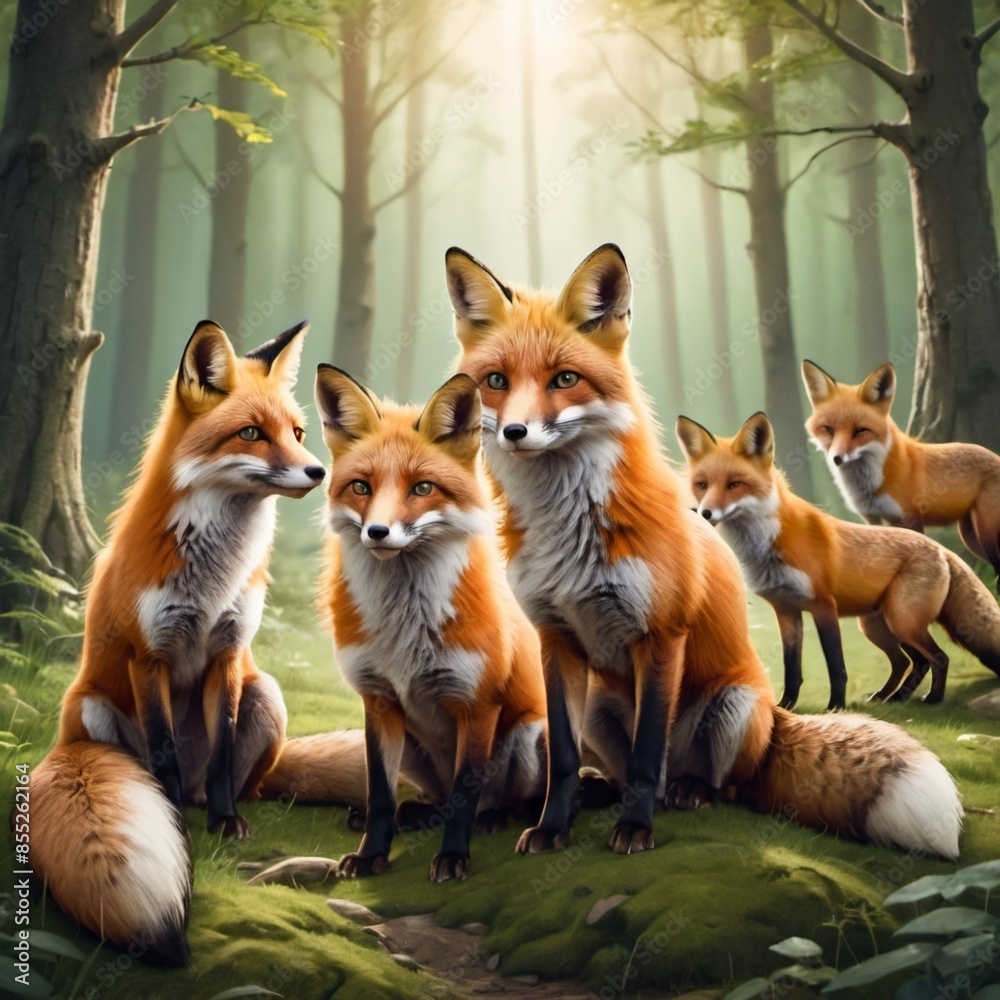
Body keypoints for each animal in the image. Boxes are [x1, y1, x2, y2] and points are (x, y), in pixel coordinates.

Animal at [29, 321, 369, 966]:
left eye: (297, 432)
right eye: (251, 434)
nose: (320, 473)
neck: (212, 579)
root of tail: (62, 742)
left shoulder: (228, 653)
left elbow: (220, 750)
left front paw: (225, 821)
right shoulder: (149, 656)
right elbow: (162, 751)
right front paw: (180, 825)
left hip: (269, 695)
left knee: (246, 781)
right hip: (95, 708)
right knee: (158, 771)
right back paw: (174, 806)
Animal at [313, 366, 547, 883]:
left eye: (422, 488)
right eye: (361, 487)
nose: (377, 532)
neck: (405, 627)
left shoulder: (477, 705)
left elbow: (464, 795)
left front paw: (453, 857)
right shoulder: (379, 702)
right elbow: (381, 795)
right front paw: (370, 855)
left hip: (527, 733)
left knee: (506, 801)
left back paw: (495, 817)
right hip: (414, 748)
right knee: (429, 802)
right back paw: (413, 814)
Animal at [447, 242, 963, 861]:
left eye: (565, 379)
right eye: (496, 381)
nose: (515, 433)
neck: (570, 533)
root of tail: (776, 715)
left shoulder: (662, 634)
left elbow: (649, 752)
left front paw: (635, 830)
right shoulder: (557, 638)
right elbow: (564, 760)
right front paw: (553, 828)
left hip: (732, 707)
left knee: (717, 781)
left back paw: (688, 792)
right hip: (599, 705)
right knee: (622, 769)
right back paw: (606, 794)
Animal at [676, 411, 1000, 709]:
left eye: (734, 485)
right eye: (702, 485)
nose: (704, 513)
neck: (764, 549)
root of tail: (940, 548)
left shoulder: (824, 606)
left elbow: (836, 666)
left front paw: (835, 707)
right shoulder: (786, 611)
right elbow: (791, 668)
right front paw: (785, 706)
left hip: (902, 622)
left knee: (937, 657)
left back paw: (932, 698)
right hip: (878, 626)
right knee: (909, 662)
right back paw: (891, 696)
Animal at [802, 359, 1000, 581]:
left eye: (860, 431)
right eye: (828, 429)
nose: (837, 458)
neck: (869, 485)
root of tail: (995, 455)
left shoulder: (911, 518)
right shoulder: (872, 518)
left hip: (986, 533)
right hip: (970, 537)